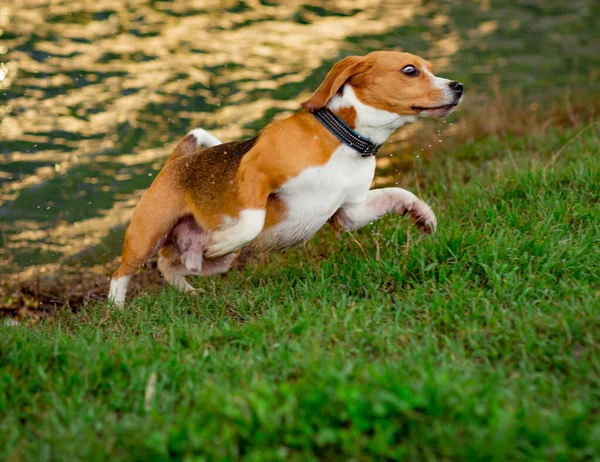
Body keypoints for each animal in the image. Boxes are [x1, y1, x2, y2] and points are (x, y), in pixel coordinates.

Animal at [108, 51, 464, 306]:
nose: (458, 86)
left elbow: (399, 193)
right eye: (410, 70)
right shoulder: (255, 172)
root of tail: (176, 162)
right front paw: (229, 236)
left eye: (429, 68)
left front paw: (423, 216)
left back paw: (190, 292)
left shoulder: (349, 212)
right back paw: (117, 310)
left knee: (171, 265)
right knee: (121, 273)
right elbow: (253, 218)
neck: (343, 140)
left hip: (210, 261)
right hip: (147, 235)